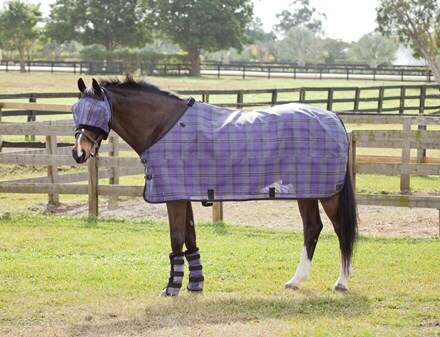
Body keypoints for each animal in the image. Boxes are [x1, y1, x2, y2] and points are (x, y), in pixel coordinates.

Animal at [71, 75, 358, 294]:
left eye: (97, 112)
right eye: (75, 111)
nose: (78, 153)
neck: (164, 127)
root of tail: (334, 117)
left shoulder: (173, 196)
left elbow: (176, 238)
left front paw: (172, 288)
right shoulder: (183, 193)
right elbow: (190, 237)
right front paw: (195, 284)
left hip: (328, 194)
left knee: (340, 230)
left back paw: (341, 282)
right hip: (308, 191)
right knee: (312, 228)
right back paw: (296, 281)